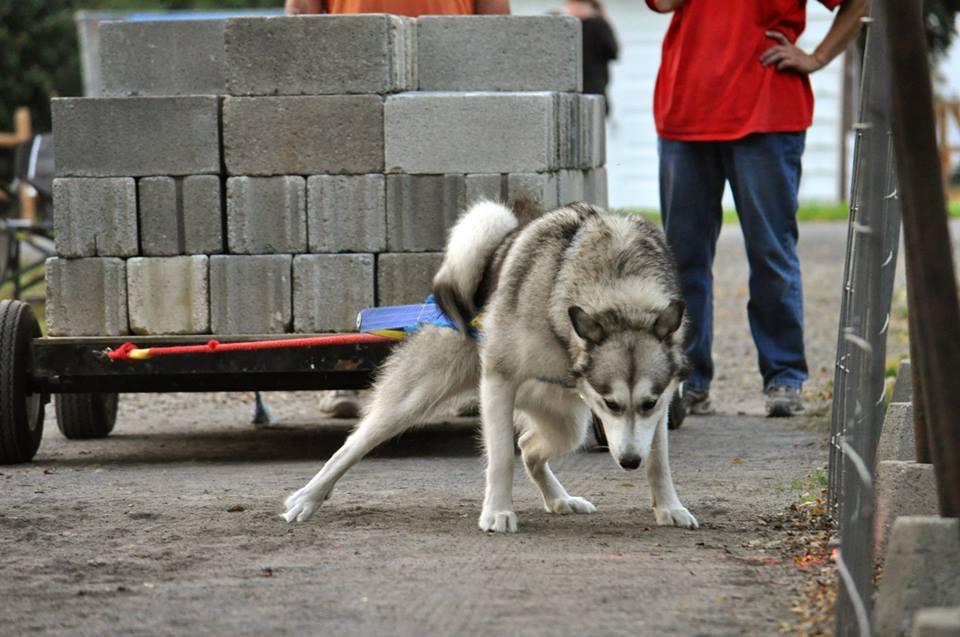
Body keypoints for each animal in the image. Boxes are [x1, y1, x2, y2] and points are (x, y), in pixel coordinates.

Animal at [284, 200, 696, 532]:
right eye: (610, 404)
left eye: (648, 404)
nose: (629, 461)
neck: (618, 290)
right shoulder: (500, 380)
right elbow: (500, 458)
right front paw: (497, 512)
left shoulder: (656, 409)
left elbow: (659, 461)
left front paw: (669, 507)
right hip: (412, 400)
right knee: (352, 445)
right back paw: (308, 497)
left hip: (567, 423)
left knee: (530, 446)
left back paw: (558, 498)